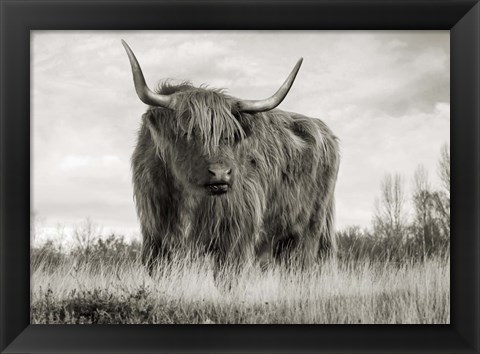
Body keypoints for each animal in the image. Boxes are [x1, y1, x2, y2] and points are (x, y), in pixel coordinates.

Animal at [124, 40, 342, 276]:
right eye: (187, 132)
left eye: (230, 135)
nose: (220, 173)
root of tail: (324, 130)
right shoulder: (155, 238)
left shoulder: (235, 237)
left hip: (308, 231)